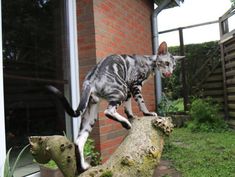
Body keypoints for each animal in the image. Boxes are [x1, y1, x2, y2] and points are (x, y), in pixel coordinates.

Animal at [46, 41, 185, 171]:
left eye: (174, 66)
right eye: (166, 63)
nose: (170, 73)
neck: (149, 62)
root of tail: (90, 80)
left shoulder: (129, 90)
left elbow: (128, 107)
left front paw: (131, 116)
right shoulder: (135, 84)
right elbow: (141, 102)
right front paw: (147, 113)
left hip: (91, 115)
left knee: (78, 141)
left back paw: (83, 168)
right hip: (120, 91)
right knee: (108, 111)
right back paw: (126, 124)